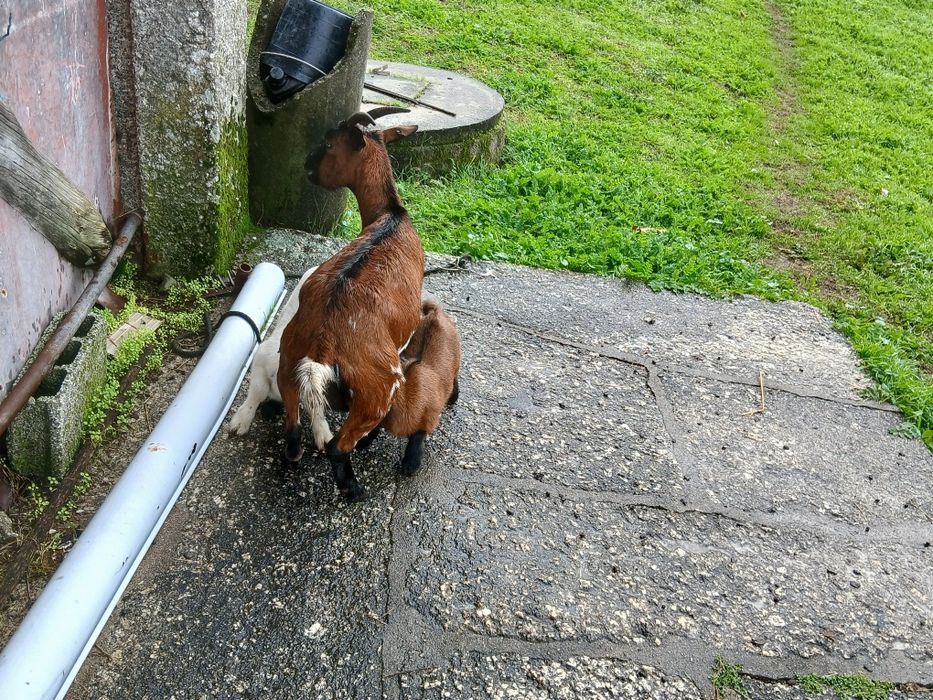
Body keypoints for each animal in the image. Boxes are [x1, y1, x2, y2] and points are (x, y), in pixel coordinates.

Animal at [277, 106, 423, 500]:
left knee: (293, 428)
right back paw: (353, 488)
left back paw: (294, 457)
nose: (307, 164)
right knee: (339, 445)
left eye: (329, 144)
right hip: (378, 386)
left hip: (287, 359)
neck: (390, 215)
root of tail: (324, 342)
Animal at [358, 298, 461, 473]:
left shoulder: (428, 418)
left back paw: (453, 398)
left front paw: (410, 465)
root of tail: (436, 313)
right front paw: (363, 443)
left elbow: (416, 439)